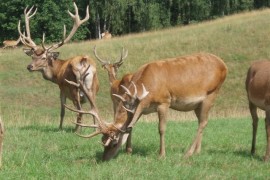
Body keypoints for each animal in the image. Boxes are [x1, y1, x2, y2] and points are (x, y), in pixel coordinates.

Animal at [66, 52, 227, 161]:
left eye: (114, 143)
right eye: (102, 141)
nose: (104, 158)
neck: (147, 87)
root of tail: (223, 65)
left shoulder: (164, 101)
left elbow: (161, 129)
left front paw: (161, 154)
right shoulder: (140, 107)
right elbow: (131, 127)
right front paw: (129, 151)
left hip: (211, 93)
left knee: (203, 122)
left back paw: (188, 153)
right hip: (198, 104)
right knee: (202, 121)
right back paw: (197, 151)